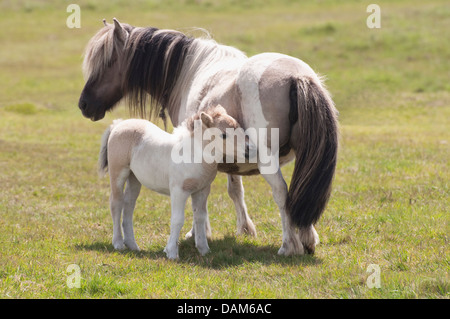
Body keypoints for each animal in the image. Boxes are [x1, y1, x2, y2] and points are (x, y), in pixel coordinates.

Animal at [80, 18, 338, 258]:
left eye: (108, 62)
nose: (83, 104)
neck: (188, 72)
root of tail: (297, 76)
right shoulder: (231, 157)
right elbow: (235, 190)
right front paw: (243, 229)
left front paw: (197, 235)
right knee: (301, 190)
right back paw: (307, 239)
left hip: (268, 162)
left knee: (282, 193)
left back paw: (288, 246)